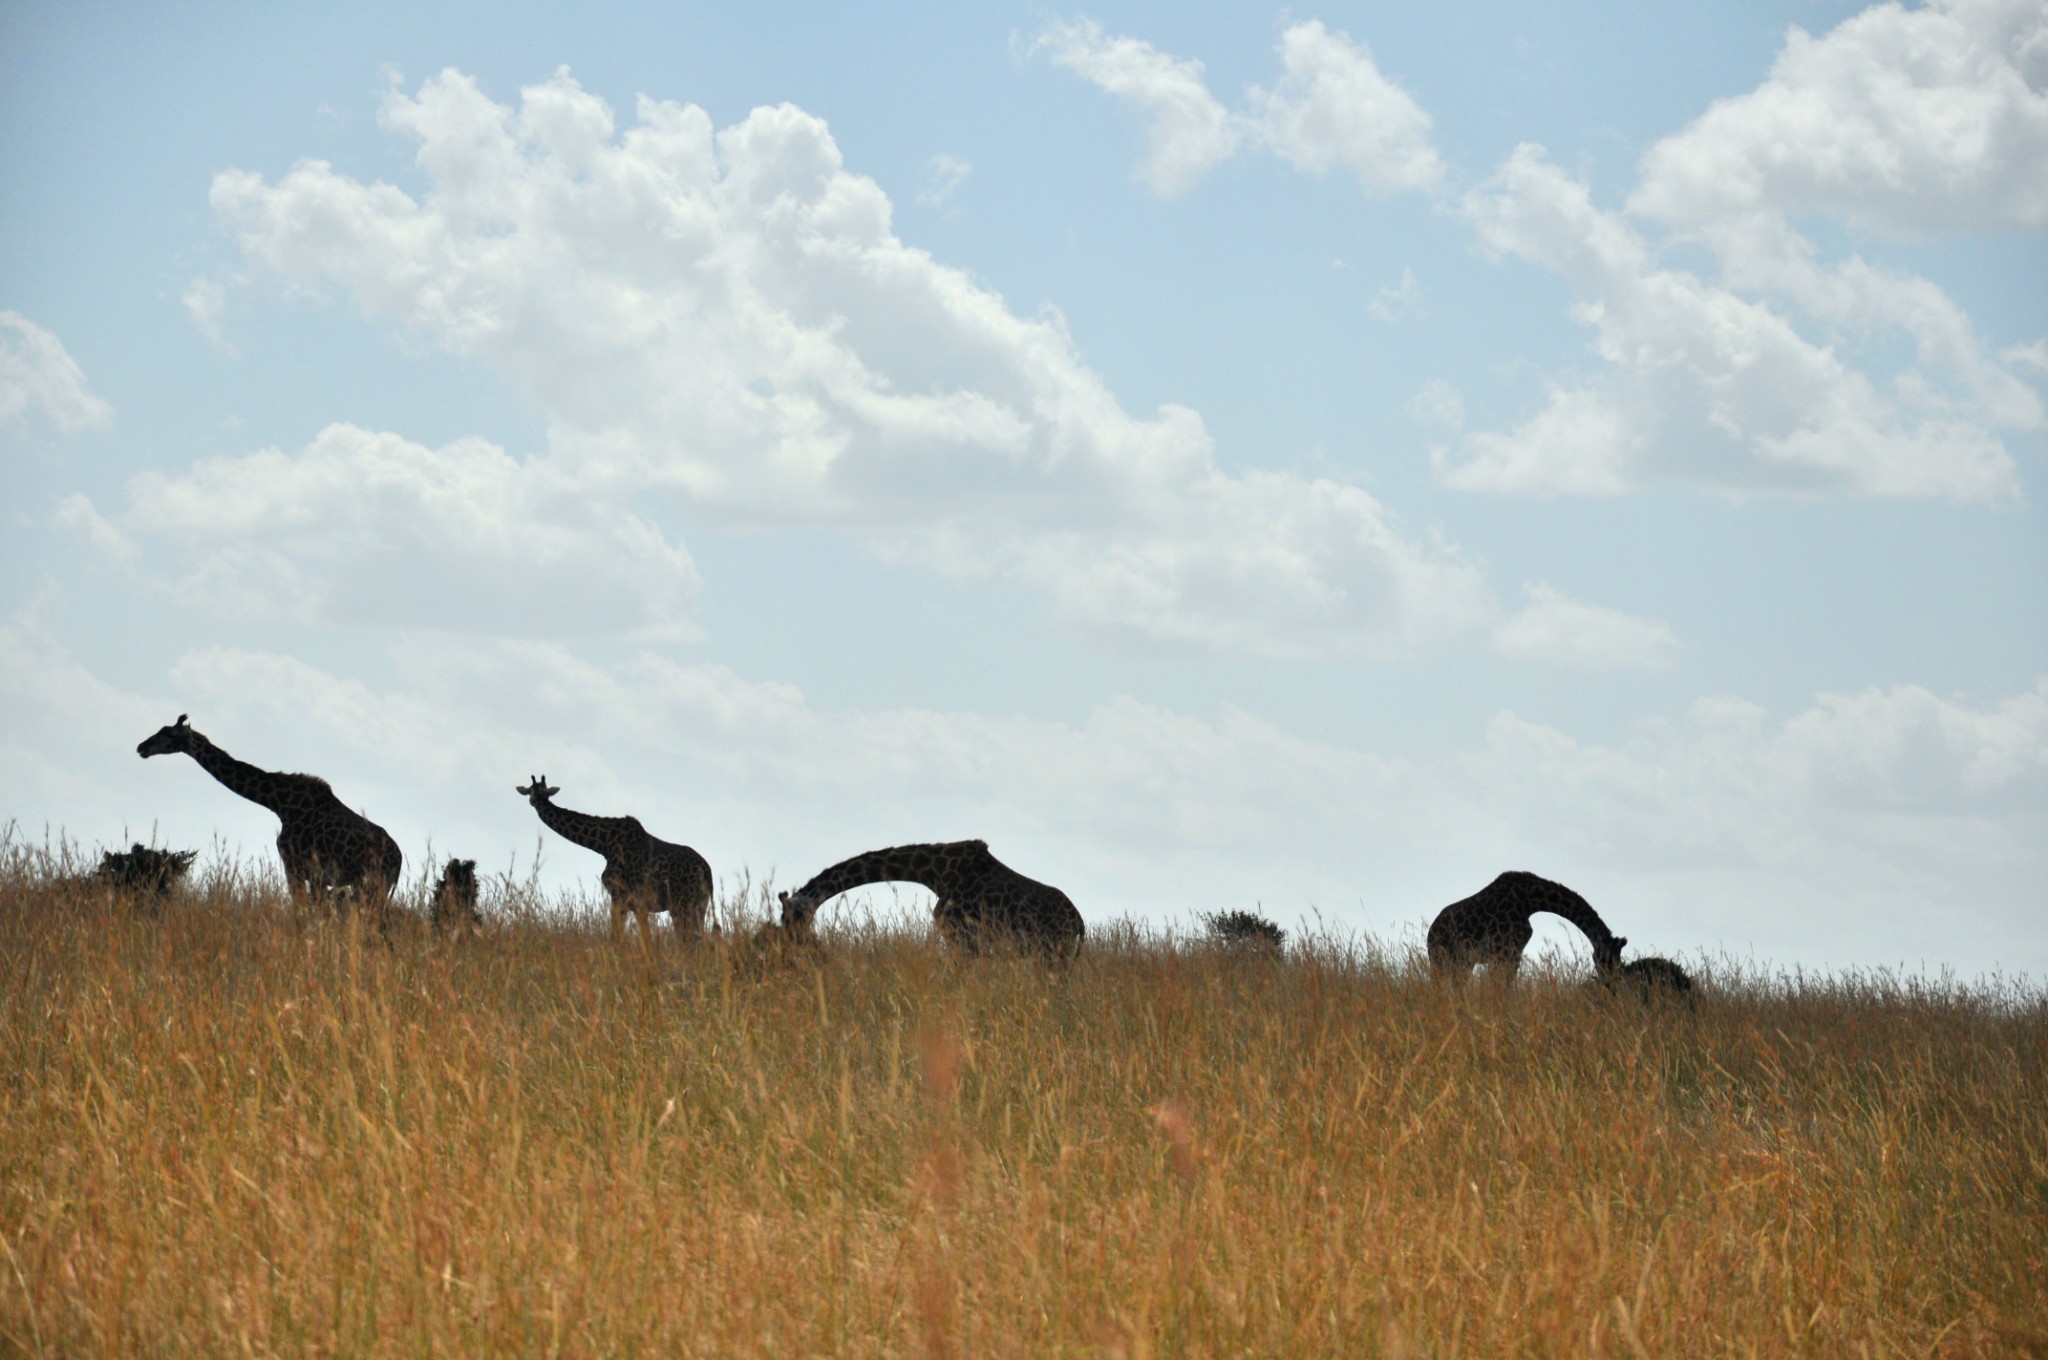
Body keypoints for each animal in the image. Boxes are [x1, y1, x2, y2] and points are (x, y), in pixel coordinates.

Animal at [137, 712, 403, 913]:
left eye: (168, 733)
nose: (142, 747)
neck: (279, 803)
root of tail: (398, 860)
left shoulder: (294, 866)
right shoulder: (316, 877)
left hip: (370, 884)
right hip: (373, 887)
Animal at [516, 782, 716, 942]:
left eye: (537, 792)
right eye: (532, 790)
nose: (536, 802)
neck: (603, 844)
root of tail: (706, 871)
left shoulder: (619, 896)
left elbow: (620, 936)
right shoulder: (634, 904)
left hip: (683, 905)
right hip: (697, 906)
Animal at [774, 839, 1089, 954]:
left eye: (791, 918)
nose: (792, 944)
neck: (933, 872)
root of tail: (1079, 923)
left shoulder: (959, 932)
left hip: (1050, 950)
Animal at [1425, 872, 1630, 979]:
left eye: (1619, 960)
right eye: (1605, 960)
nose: (1610, 982)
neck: (1530, 902)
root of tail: (1431, 930)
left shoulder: (1513, 953)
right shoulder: (1500, 952)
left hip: (1463, 961)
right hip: (1440, 957)